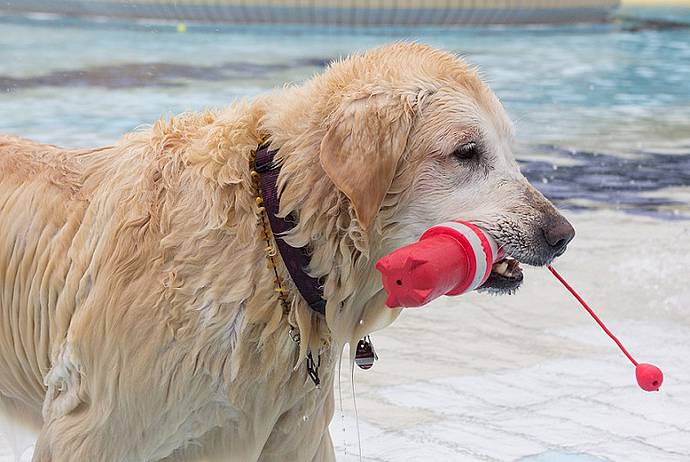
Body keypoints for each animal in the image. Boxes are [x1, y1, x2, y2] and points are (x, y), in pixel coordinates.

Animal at [0, 41, 572, 460]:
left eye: (509, 150)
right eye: (466, 152)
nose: (562, 233)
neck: (272, 234)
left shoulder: (291, 421)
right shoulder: (100, 422)